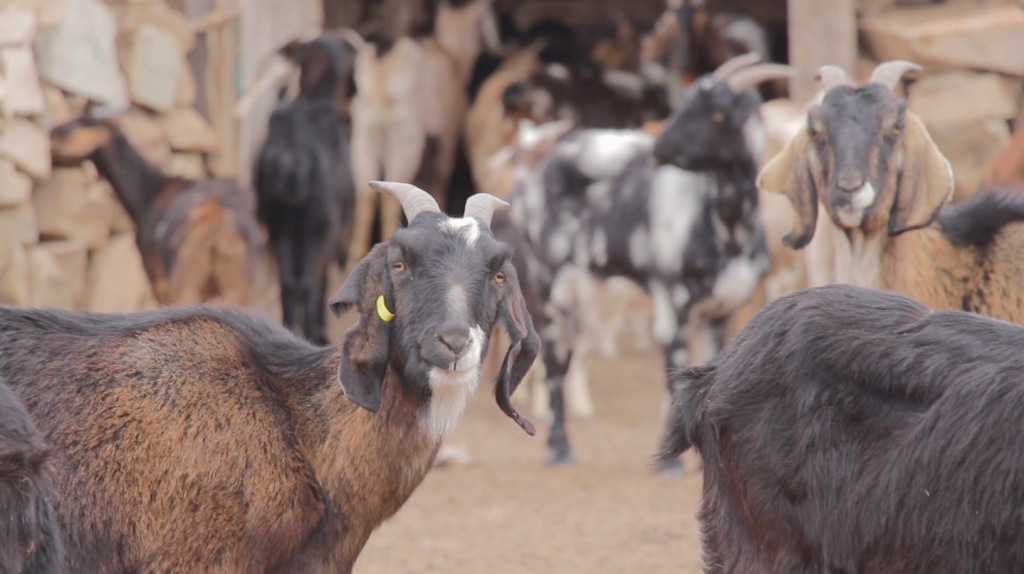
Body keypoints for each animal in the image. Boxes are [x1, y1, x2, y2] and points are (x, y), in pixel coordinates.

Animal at [50, 111, 260, 307]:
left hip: (184, 282)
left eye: (86, 122)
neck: (151, 190)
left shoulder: (158, 280)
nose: (55, 132)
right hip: (236, 285)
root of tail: (217, 216)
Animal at [347, 0, 499, 264]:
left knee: (365, 197)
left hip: (364, 139)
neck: (452, 56)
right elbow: (440, 178)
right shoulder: (446, 138)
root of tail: (381, 74)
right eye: (487, 14)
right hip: (405, 142)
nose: (497, 45)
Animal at [509, 54, 795, 466]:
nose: (659, 149)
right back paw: (559, 448)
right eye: (688, 100)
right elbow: (673, 366)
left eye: (718, 112)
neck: (729, 232)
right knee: (556, 359)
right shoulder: (674, 300)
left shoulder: (721, 309)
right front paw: (672, 465)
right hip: (548, 286)